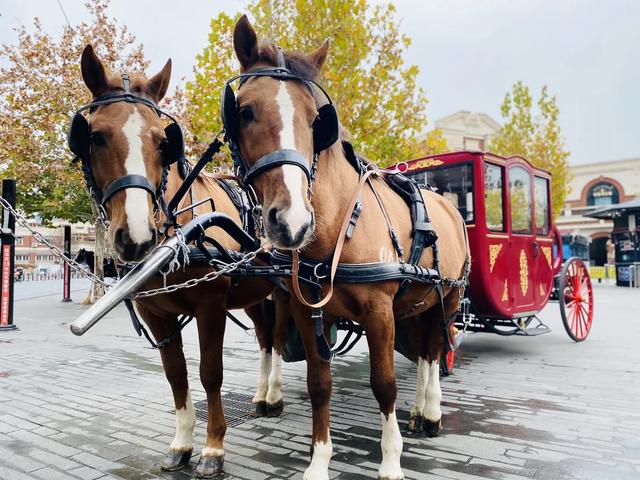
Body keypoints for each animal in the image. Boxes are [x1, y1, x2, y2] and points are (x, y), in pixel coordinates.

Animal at [72, 44, 288, 476]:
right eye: (95, 137)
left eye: (161, 141)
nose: (136, 236)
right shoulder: (155, 312)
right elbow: (176, 376)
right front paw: (182, 444)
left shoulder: (211, 305)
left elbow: (209, 374)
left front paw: (213, 449)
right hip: (255, 292)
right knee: (264, 337)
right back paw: (261, 396)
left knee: (276, 336)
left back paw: (273, 395)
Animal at [228, 15, 468, 480]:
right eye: (243, 111)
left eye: (314, 119)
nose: (292, 222)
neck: (340, 222)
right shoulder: (306, 311)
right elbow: (319, 385)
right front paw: (318, 462)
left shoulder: (379, 311)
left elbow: (384, 384)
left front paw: (391, 461)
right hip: (421, 301)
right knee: (425, 352)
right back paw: (419, 411)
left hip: (449, 297)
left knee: (435, 351)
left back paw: (430, 412)